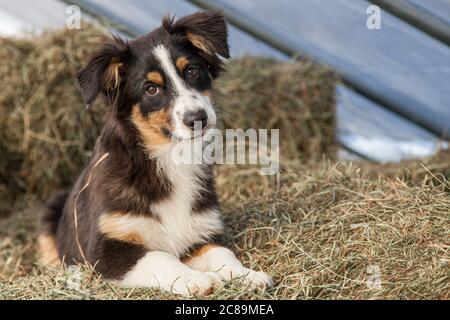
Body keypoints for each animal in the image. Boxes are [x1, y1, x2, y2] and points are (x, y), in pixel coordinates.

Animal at [37, 10, 270, 296]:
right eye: (151, 89)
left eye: (191, 71)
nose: (198, 119)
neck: (170, 158)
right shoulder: (105, 250)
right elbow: (161, 257)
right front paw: (198, 280)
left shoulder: (200, 233)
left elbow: (222, 253)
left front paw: (248, 276)